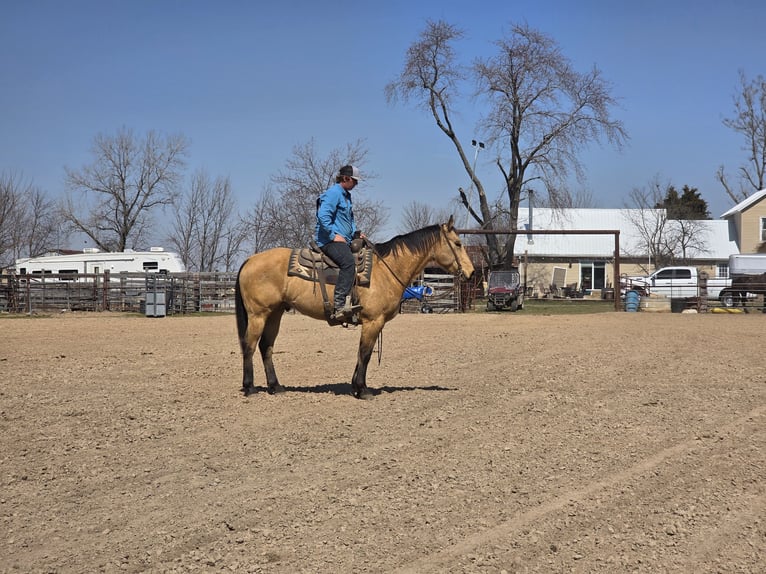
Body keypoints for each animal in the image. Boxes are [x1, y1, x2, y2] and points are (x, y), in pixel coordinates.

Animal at [234, 216, 474, 400]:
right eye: (457, 243)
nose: (471, 272)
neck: (385, 270)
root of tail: (249, 260)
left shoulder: (372, 323)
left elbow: (361, 353)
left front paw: (356, 387)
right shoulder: (373, 321)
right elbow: (365, 353)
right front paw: (363, 389)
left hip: (274, 314)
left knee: (266, 347)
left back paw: (276, 387)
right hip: (258, 314)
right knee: (249, 346)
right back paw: (250, 388)